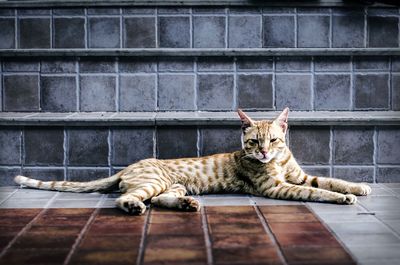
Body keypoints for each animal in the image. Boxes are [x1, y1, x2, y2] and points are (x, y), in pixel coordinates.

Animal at [14, 108, 372, 214]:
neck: (280, 162)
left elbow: (329, 180)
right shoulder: (277, 188)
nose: (263, 152)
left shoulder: (299, 177)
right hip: (153, 181)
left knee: (160, 200)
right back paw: (133, 207)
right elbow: (318, 192)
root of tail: (127, 167)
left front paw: (359, 187)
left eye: (273, 140)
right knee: (127, 199)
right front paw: (343, 198)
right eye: (253, 142)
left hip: (171, 185)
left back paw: (186, 205)